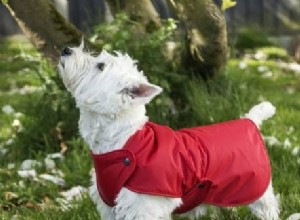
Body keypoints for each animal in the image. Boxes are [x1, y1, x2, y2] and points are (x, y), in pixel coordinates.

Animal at [58, 43, 278, 220]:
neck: (122, 142)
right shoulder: (108, 206)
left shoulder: (143, 205)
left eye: (100, 65)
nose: (66, 49)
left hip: (256, 190)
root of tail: (249, 121)